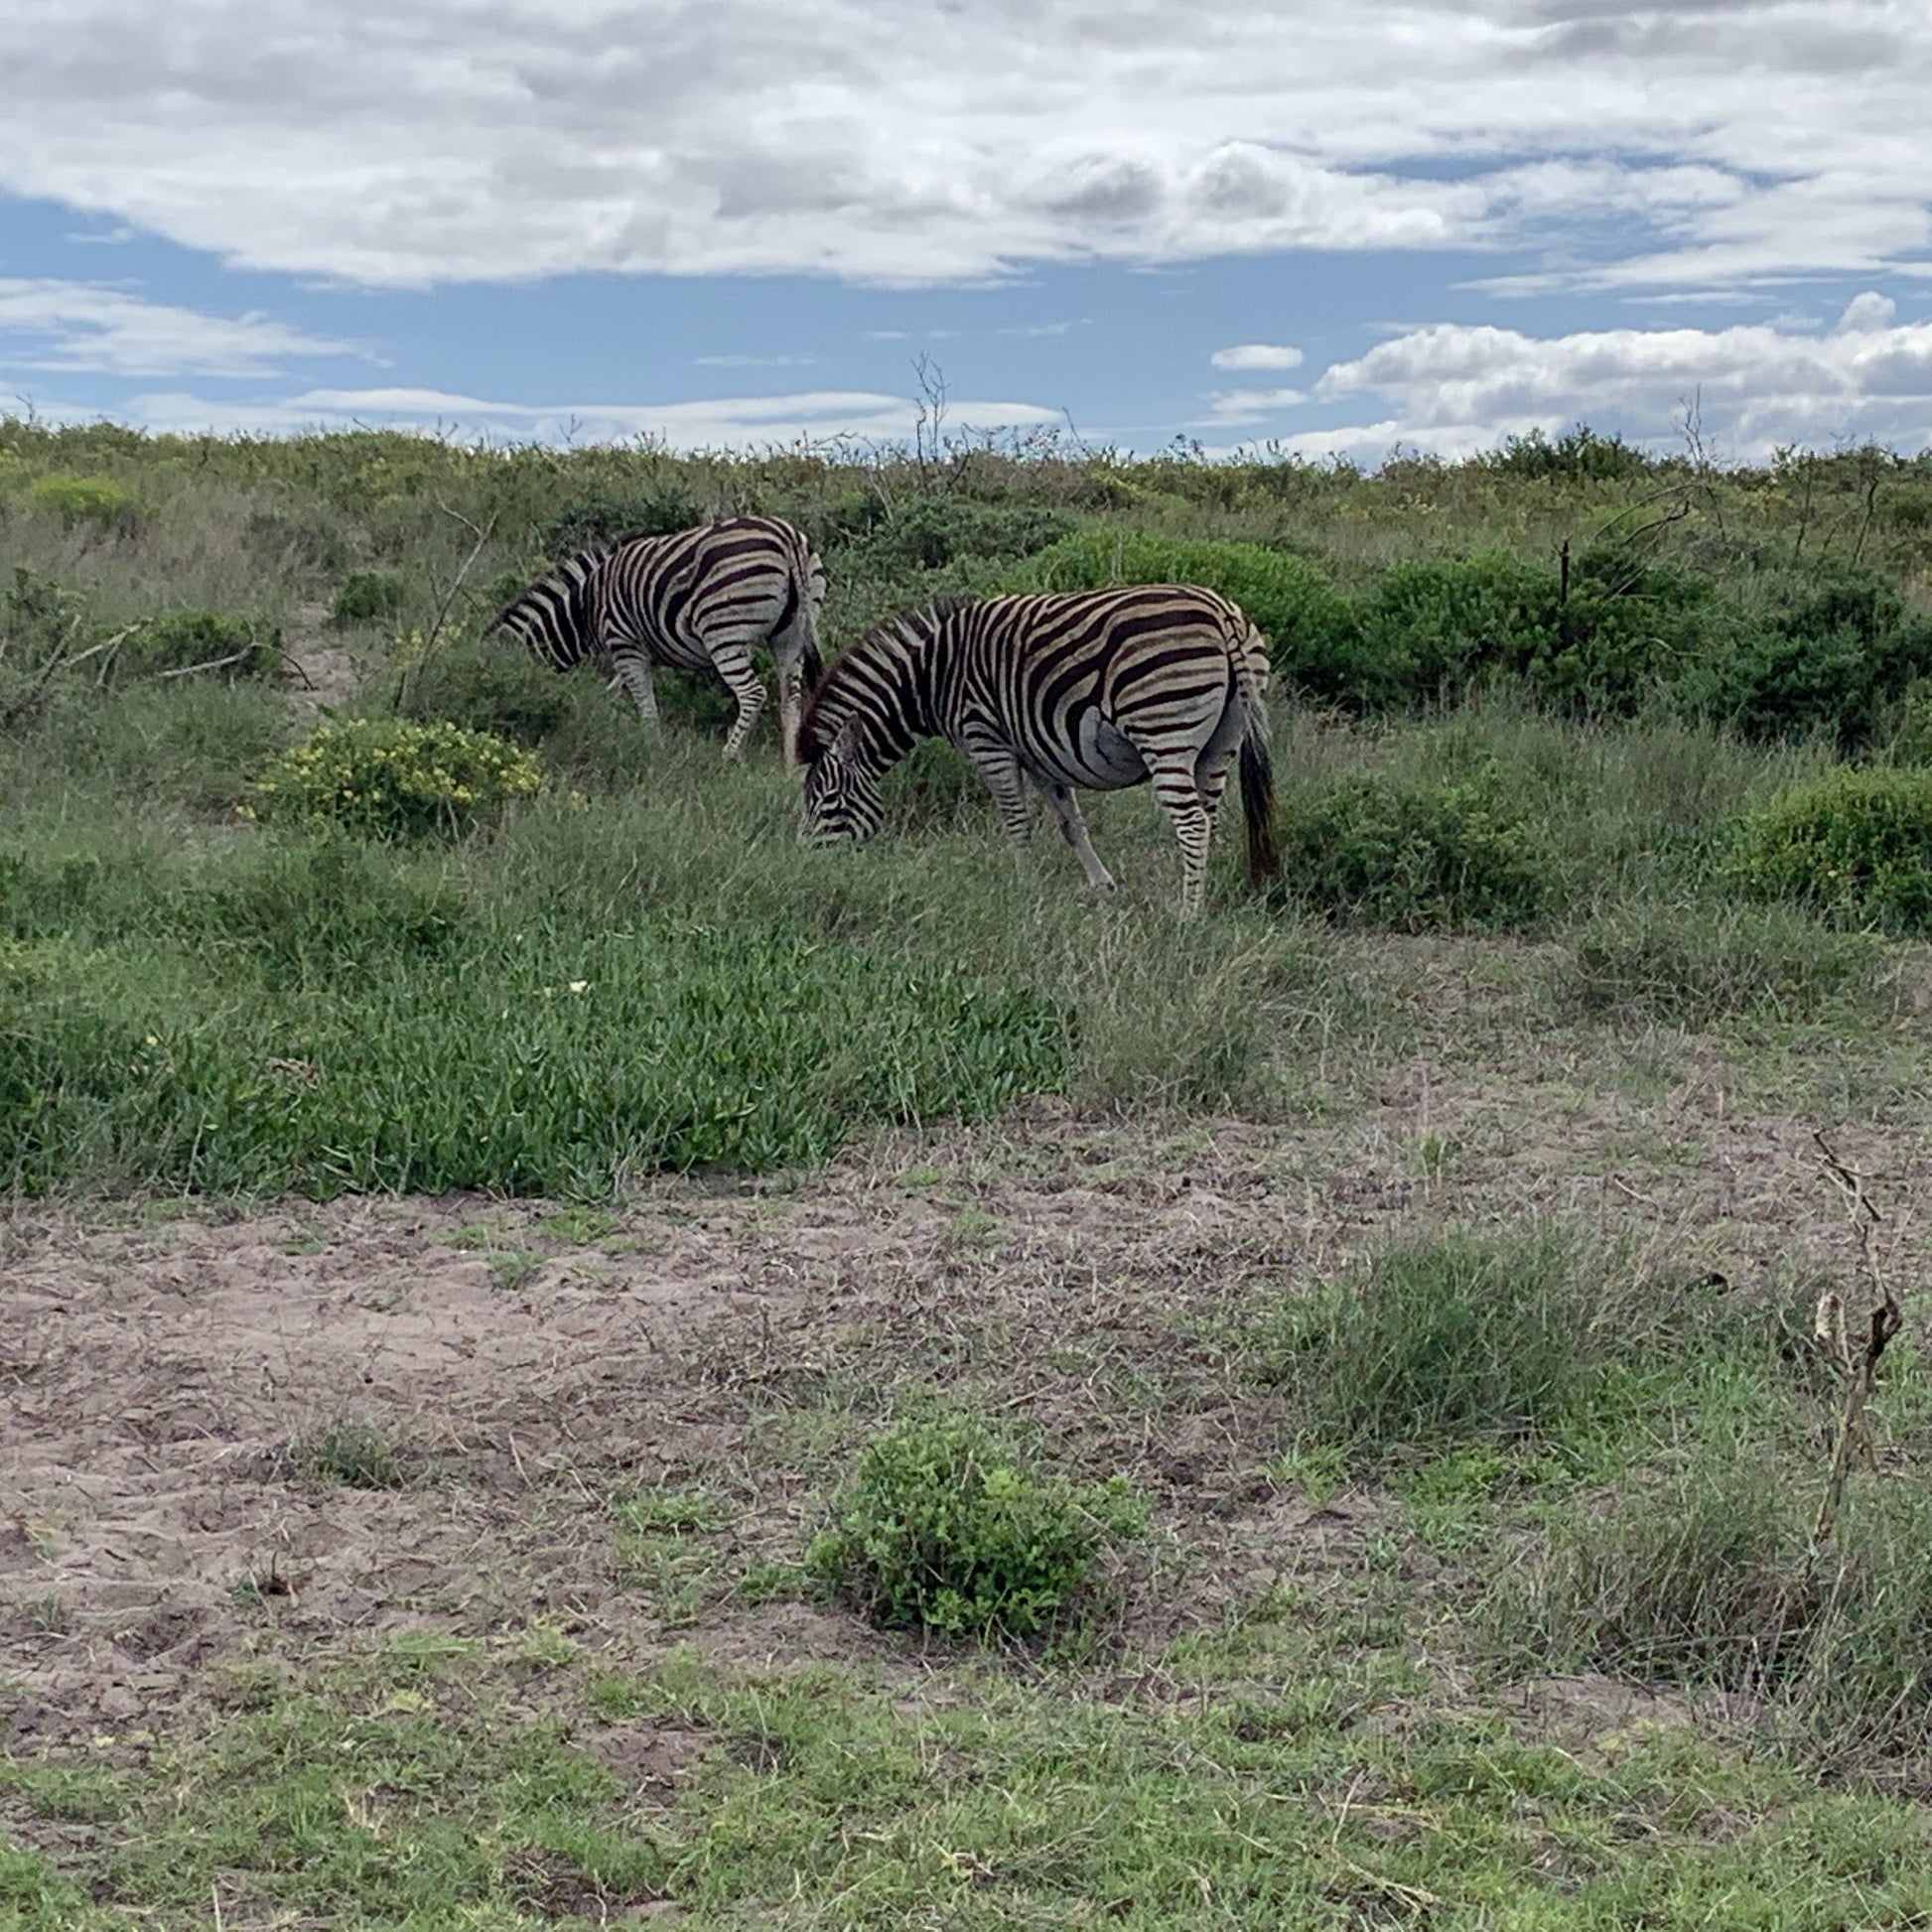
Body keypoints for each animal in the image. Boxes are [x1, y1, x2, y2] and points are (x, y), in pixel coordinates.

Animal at [486, 513, 826, 768]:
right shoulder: (641, 653)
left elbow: (647, 707)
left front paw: (653, 752)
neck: (586, 606)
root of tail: (788, 539)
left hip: (723, 631)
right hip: (790, 636)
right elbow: (615, 694)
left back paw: (728, 756)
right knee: (792, 700)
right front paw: (607, 727)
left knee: (752, 693)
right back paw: (791, 769)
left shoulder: (625, 644)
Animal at [791, 575, 1275, 915]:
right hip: (1221, 744)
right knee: (1209, 819)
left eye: (828, 800)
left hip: (1164, 732)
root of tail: (1223, 616)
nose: (809, 868)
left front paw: (1024, 887)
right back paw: (1204, 894)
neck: (931, 678)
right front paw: (1103, 887)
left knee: (1192, 823)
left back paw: (1188, 915)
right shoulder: (1039, 754)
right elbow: (1070, 823)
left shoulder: (986, 741)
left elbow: (1016, 820)